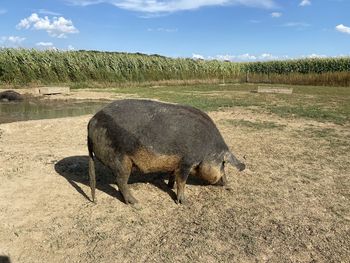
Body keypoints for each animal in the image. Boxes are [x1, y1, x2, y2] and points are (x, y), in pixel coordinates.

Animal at [87, 100, 246, 205]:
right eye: (223, 163)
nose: (227, 185)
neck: (207, 150)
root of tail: (92, 121)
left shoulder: (176, 163)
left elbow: (173, 175)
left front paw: (170, 186)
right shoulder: (186, 161)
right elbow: (182, 181)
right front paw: (183, 202)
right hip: (120, 159)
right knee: (121, 180)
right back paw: (137, 204)